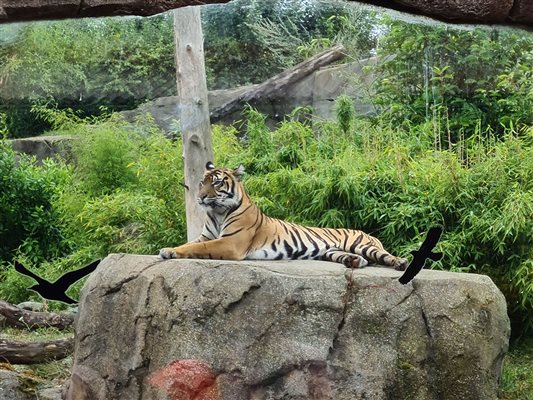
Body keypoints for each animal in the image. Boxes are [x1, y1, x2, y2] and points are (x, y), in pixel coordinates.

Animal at [158, 162, 408, 272]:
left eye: (217, 183)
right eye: (203, 182)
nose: (200, 197)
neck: (218, 212)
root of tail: (366, 232)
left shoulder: (231, 243)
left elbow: (199, 248)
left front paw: (169, 252)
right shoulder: (206, 236)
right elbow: (189, 244)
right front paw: (169, 250)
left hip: (363, 244)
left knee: (384, 256)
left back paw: (400, 263)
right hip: (332, 251)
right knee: (361, 259)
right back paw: (354, 262)